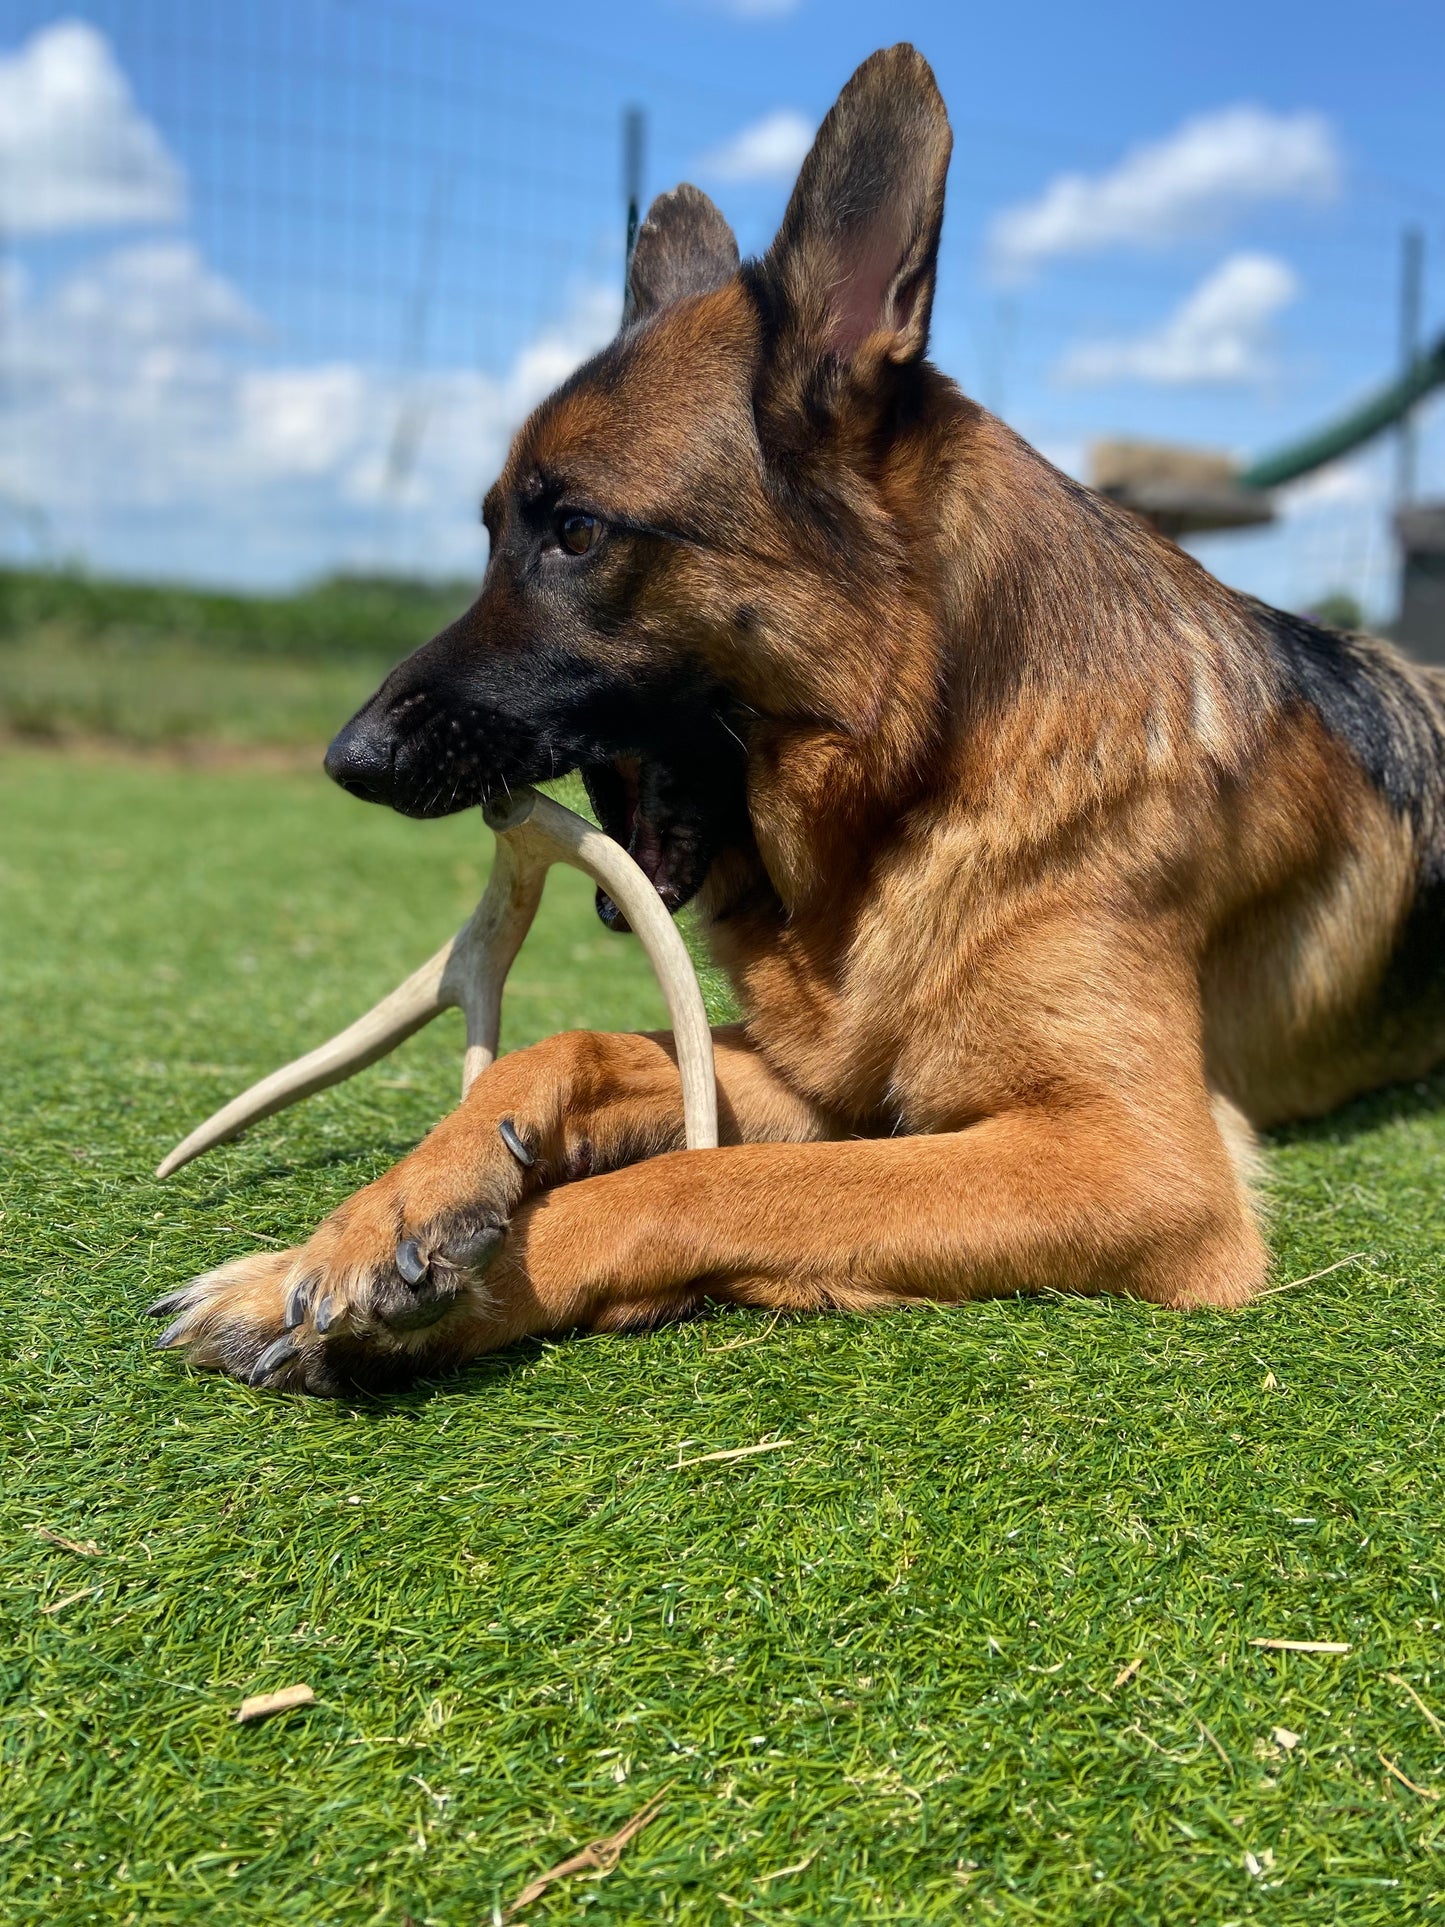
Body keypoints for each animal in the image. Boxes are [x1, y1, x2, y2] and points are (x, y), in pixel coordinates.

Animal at [153, 48, 1445, 1402]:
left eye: (576, 533)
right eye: (495, 529)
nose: (347, 758)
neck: (928, 769)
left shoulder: (1131, 1157)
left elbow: (704, 1178)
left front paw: (475, 1275)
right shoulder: (822, 1070)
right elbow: (569, 1047)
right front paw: (363, 1226)